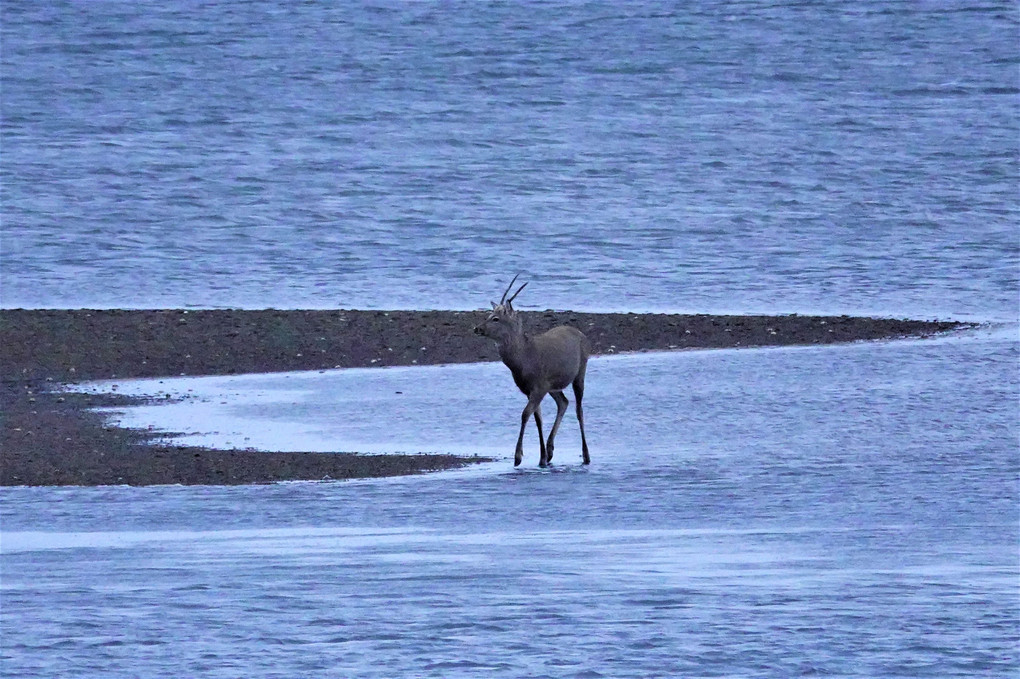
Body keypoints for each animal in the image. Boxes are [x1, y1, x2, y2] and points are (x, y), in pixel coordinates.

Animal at [471, 273, 591, 464]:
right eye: (489, 314)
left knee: (579, 409)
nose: (477, 328)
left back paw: (586, 455)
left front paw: (518, 456)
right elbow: (537, 418)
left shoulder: (539, 386)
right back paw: (550, 450)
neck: (523, 362)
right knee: (563, 402)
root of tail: (582, 334)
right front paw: (542, 457)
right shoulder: (530, 389)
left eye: (496, 318)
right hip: (553, 386)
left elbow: (525, 414)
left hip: (580, 372)